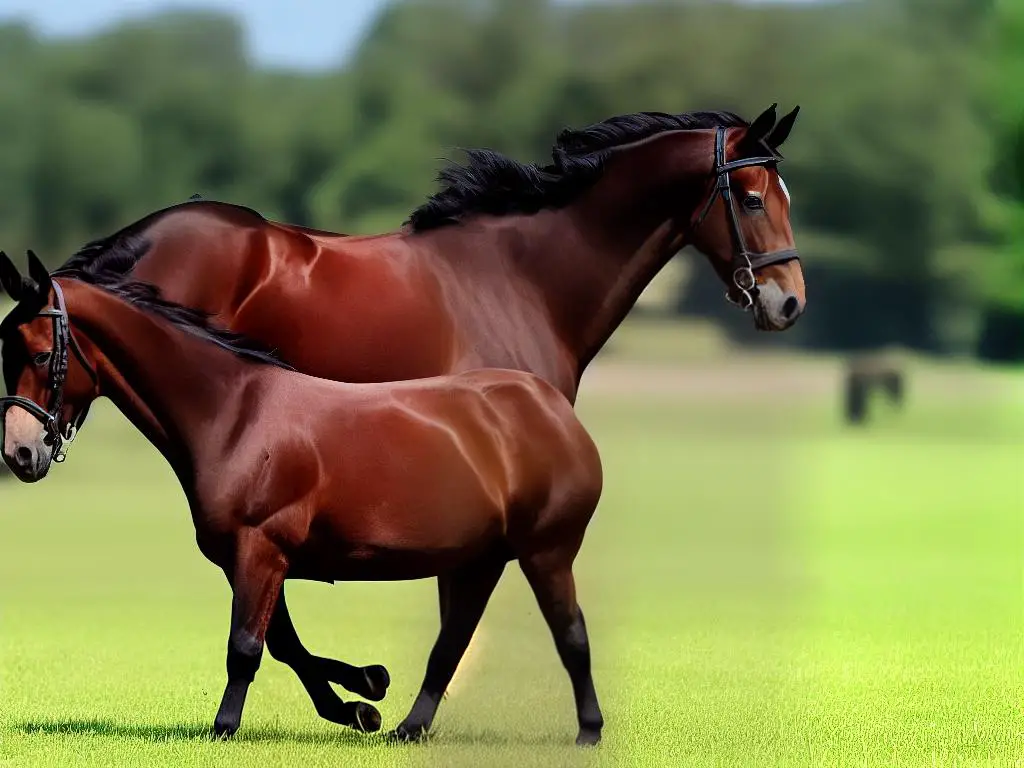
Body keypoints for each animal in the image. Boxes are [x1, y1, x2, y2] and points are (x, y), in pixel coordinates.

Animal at [0, 252, 602, 745]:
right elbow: (285, 645)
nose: (20, 453)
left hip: (546, 552)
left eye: (39, 355)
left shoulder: (261, 549)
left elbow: (246, 646)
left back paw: (589, 732)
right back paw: (409, 727)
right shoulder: (251, 557)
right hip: (481, 560)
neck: (235, 414)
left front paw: (225, 727)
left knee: (569, 633)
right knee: (452, 642)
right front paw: (362, 697)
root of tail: (550, 408)